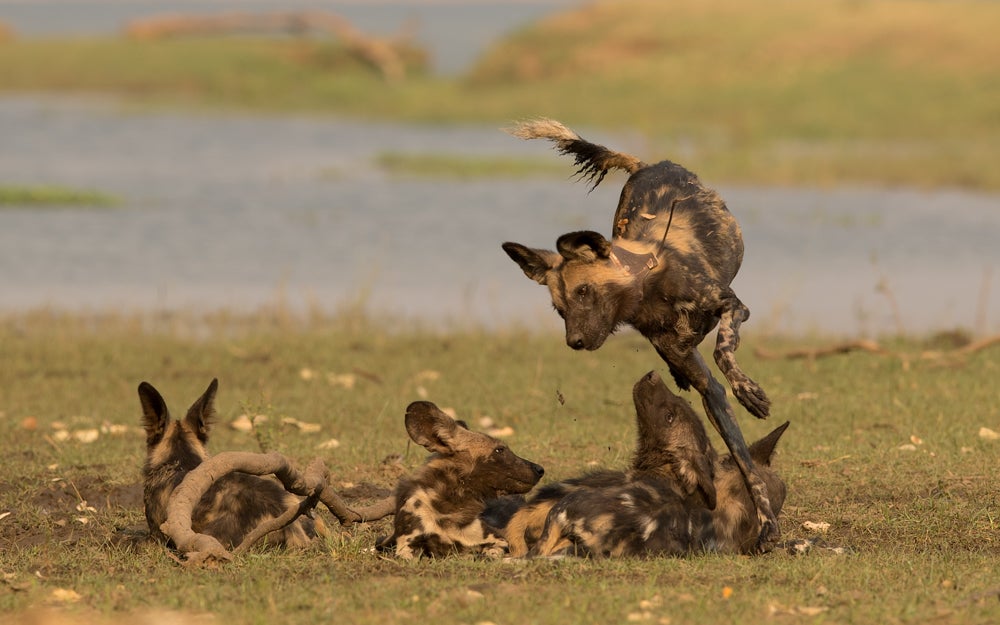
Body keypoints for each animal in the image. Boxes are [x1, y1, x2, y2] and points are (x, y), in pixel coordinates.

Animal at [376, 402, 548, 560]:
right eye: (499, 450)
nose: (540, 469)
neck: (448, 506)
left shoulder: (499, 541)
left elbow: (489, 553)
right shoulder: (406, 546)